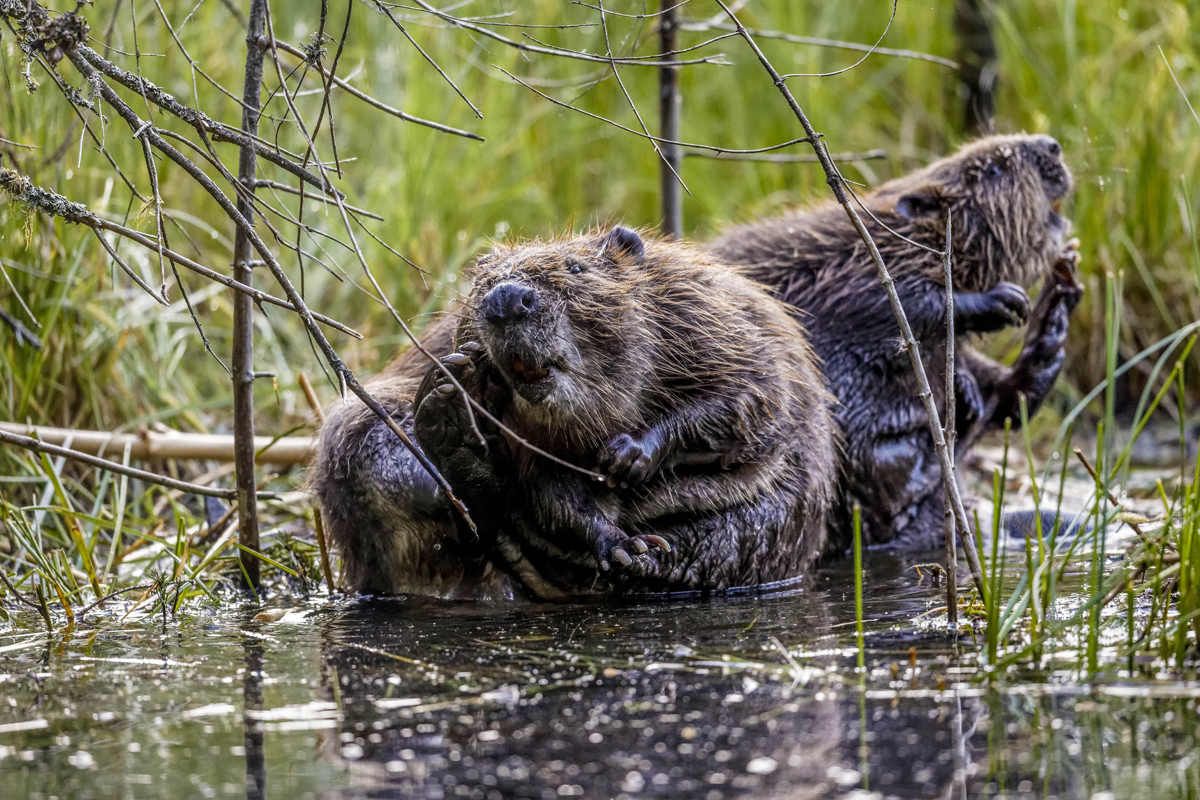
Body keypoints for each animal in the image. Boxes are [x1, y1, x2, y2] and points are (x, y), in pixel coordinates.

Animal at [309, 227, 840, 597]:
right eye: (483, 282)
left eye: (575, 269)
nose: (507, 298)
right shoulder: (539, 450)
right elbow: (556, 494)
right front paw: (623, 545)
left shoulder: (708, 319)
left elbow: (746, 396)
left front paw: (627, 459)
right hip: (359, 431)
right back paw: (447, 421)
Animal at [705, 136, 1084, 551]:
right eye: (992, 170)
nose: (1051, 145)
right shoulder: (845, 270)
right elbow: (897, 300)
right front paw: (1002, 300)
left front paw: (1060, 282)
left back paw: (1051, 318)